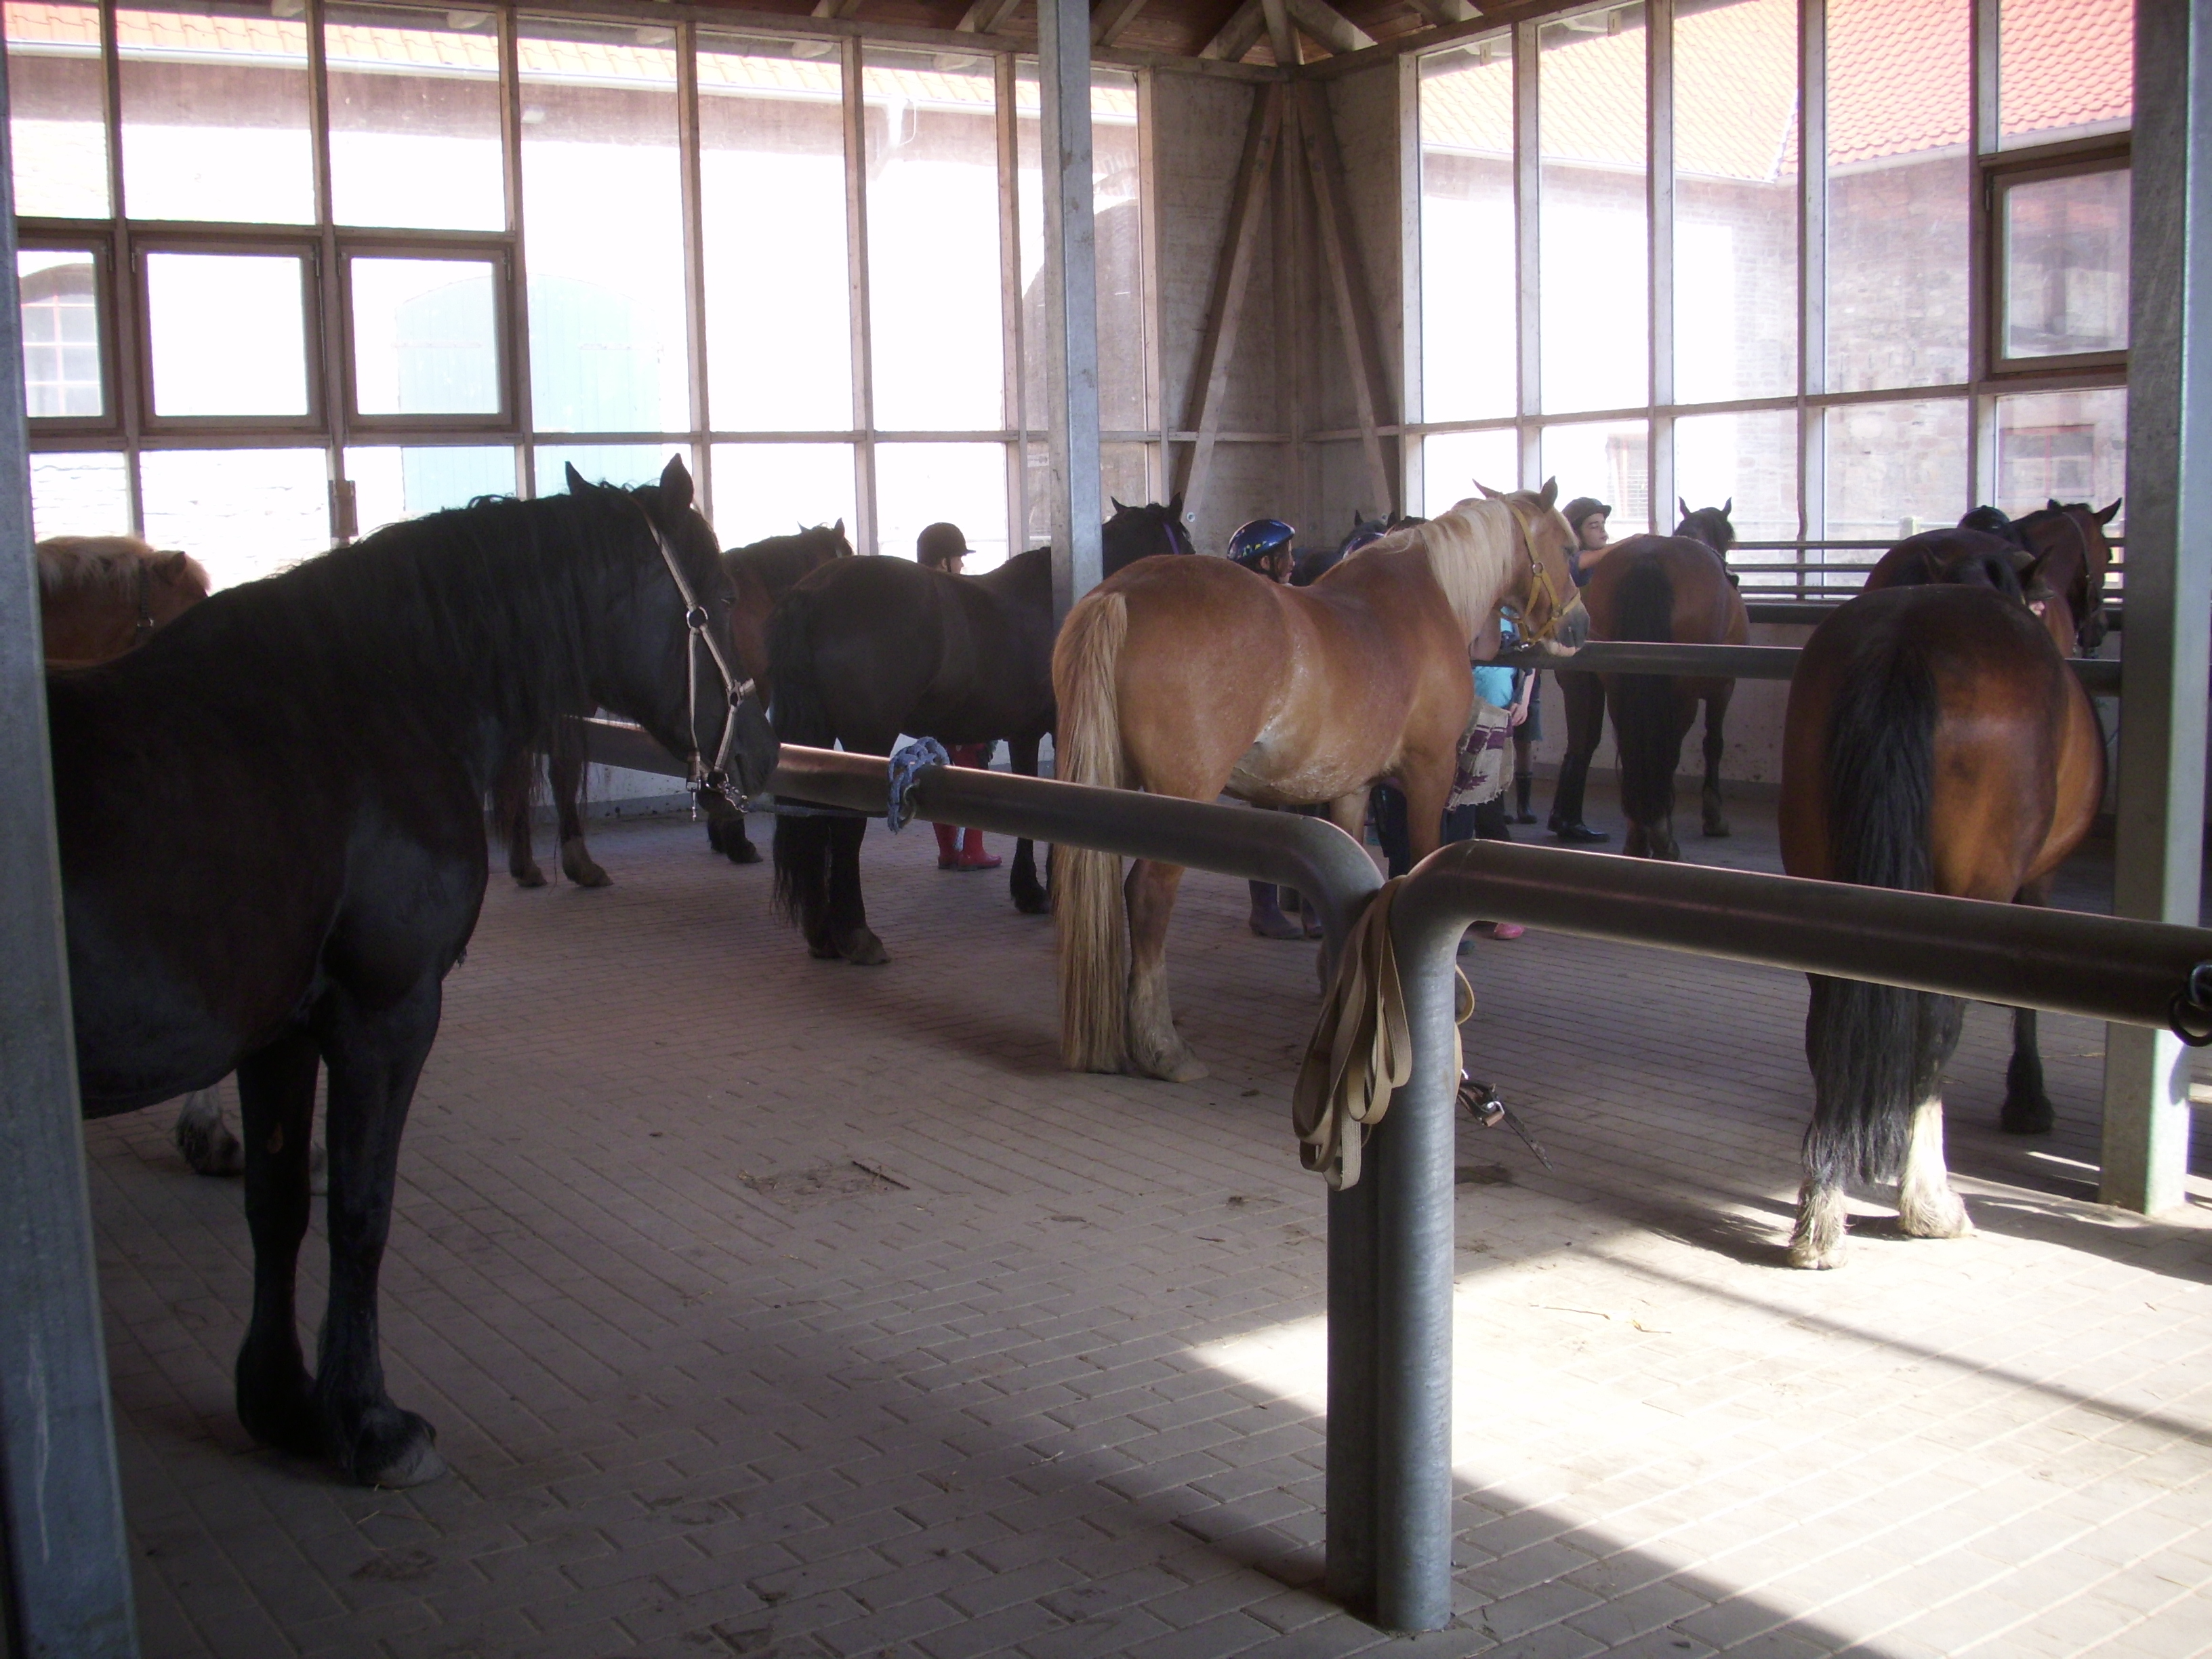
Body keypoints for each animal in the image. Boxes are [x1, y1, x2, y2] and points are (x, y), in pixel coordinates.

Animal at [47, 456, 778, 1484]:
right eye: (719, 596)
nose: (763, 752)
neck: (372, 705)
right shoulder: (384, 1016)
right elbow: (361, 1209)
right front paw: (366, 1422)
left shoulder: (279, 1034)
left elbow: (278, 1205)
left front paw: (280, 1402)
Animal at [768, 498, 1194, 965]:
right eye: (1184, 537)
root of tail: (813, 592)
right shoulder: (1060, 730)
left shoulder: (1025, 733)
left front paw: (1030, 890)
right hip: (867, 740)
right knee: (845, 827)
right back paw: (856, 933)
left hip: (815, 740)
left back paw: (823, 937)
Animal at [1053, 483, 1583, 1082]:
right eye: (1568, 550)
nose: (1579, 628)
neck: (1428, 599)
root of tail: (1121, 593)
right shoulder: (1430, 775)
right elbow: (1420, 855)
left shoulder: (1351, 787)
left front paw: (1337, 976)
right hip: (1181, 800)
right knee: (1146, 897)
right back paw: (1162, 1045)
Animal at [1546, 502, 1746, 857]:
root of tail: (1649, 561)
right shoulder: (1724, 687)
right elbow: (1714, 744)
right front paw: (1714, 818)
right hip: (1680, 695)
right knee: (1667, 749)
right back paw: (1662, 836)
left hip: (1617, 688)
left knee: (1619, 747)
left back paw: (1634, 837)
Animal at [1776, 535, 2102, 1270]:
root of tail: (1908, 645)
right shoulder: (2034, 887)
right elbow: (2024, 1005)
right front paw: (2028, 1100)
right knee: (1935, 1028)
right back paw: (1928, 1202)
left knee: (1829, 1018)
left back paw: (1822, 1210)